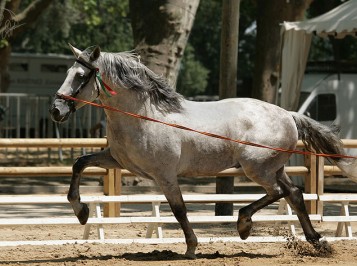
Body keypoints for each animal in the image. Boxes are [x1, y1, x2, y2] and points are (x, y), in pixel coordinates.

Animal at [49, 44, 356, 258]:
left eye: (80, 76)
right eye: (67, 73)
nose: (56, 111)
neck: (144, 115)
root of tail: (289, 115)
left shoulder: (165, 175)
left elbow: (179, 210)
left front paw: (191, 247)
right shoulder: (117, 161)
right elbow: (79, 163)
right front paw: (81, 211)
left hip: (256, 168)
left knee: (278, 193)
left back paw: (244, 224)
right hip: (274, 168)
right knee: (294, 193)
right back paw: (316, 241)